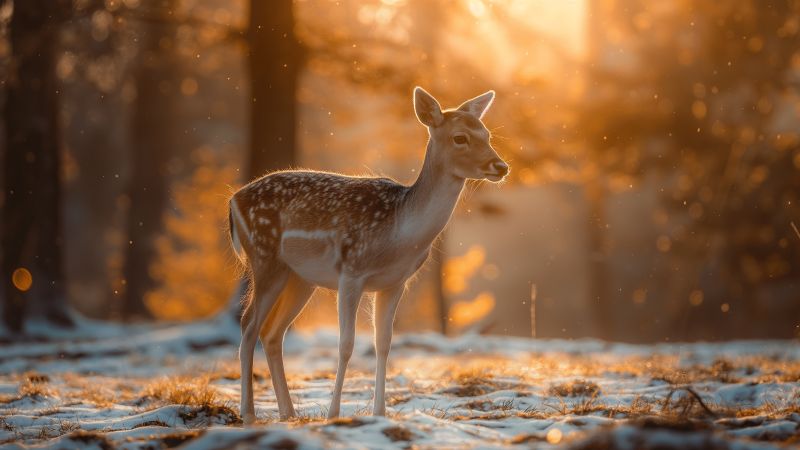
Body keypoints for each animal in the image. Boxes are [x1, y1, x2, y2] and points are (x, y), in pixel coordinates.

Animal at [229, 87, 509, 424]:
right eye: (460, 137)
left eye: (487, 134)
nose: (501, 166)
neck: (399, 234)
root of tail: (232, 201)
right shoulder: (352, 270)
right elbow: (346, 344)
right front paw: (334, 413)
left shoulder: (394, 282)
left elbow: (383, 343)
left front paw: (380, 412)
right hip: (263, 255)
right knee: (248, 325)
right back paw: (249, 413)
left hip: (298, 277)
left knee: (272, 333)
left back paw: (289, 413)